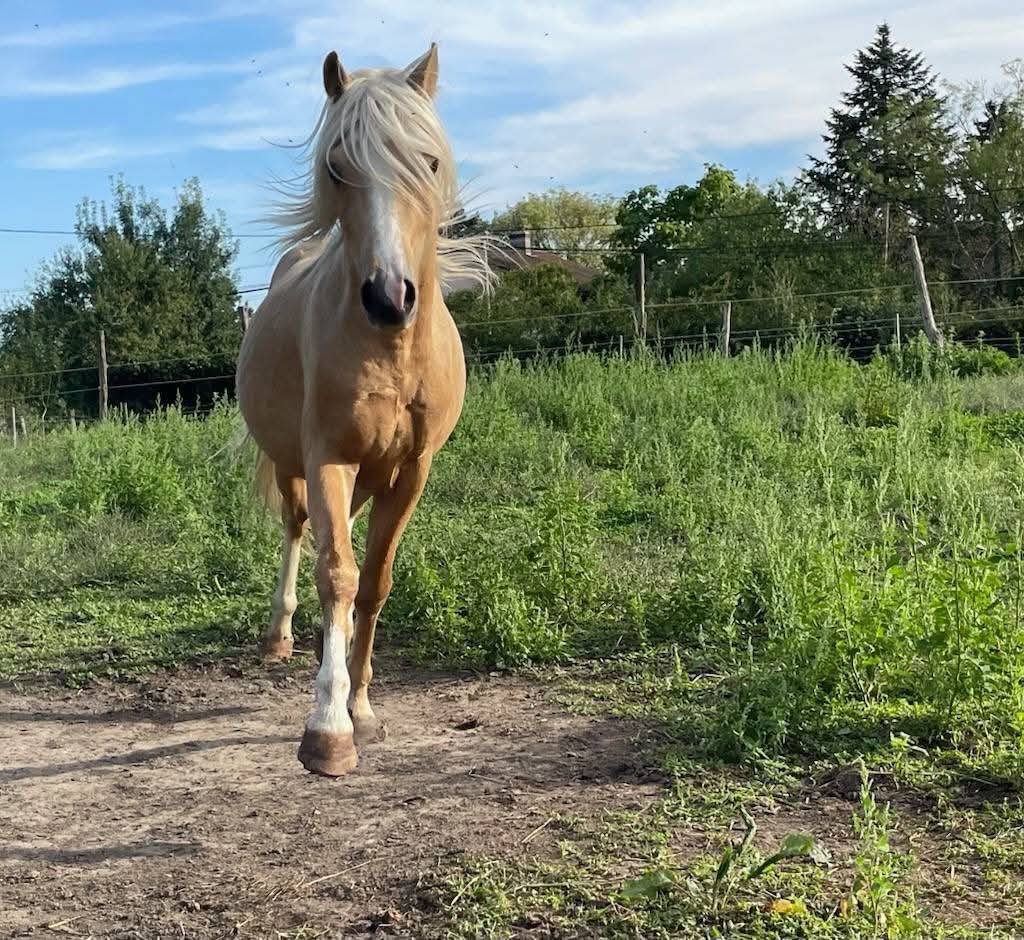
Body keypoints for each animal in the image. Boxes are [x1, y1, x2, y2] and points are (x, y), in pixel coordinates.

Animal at [236, 44, 492, 777]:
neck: (391, 351)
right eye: (336, 167)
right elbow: (338, 577)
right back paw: (279, 636)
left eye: (428, 162)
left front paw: (362, 707)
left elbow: (373, 581)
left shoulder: (412, 471)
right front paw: (328, 728)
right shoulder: (329, 457)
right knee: (301, 533)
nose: (388, 297)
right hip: (293, 463)